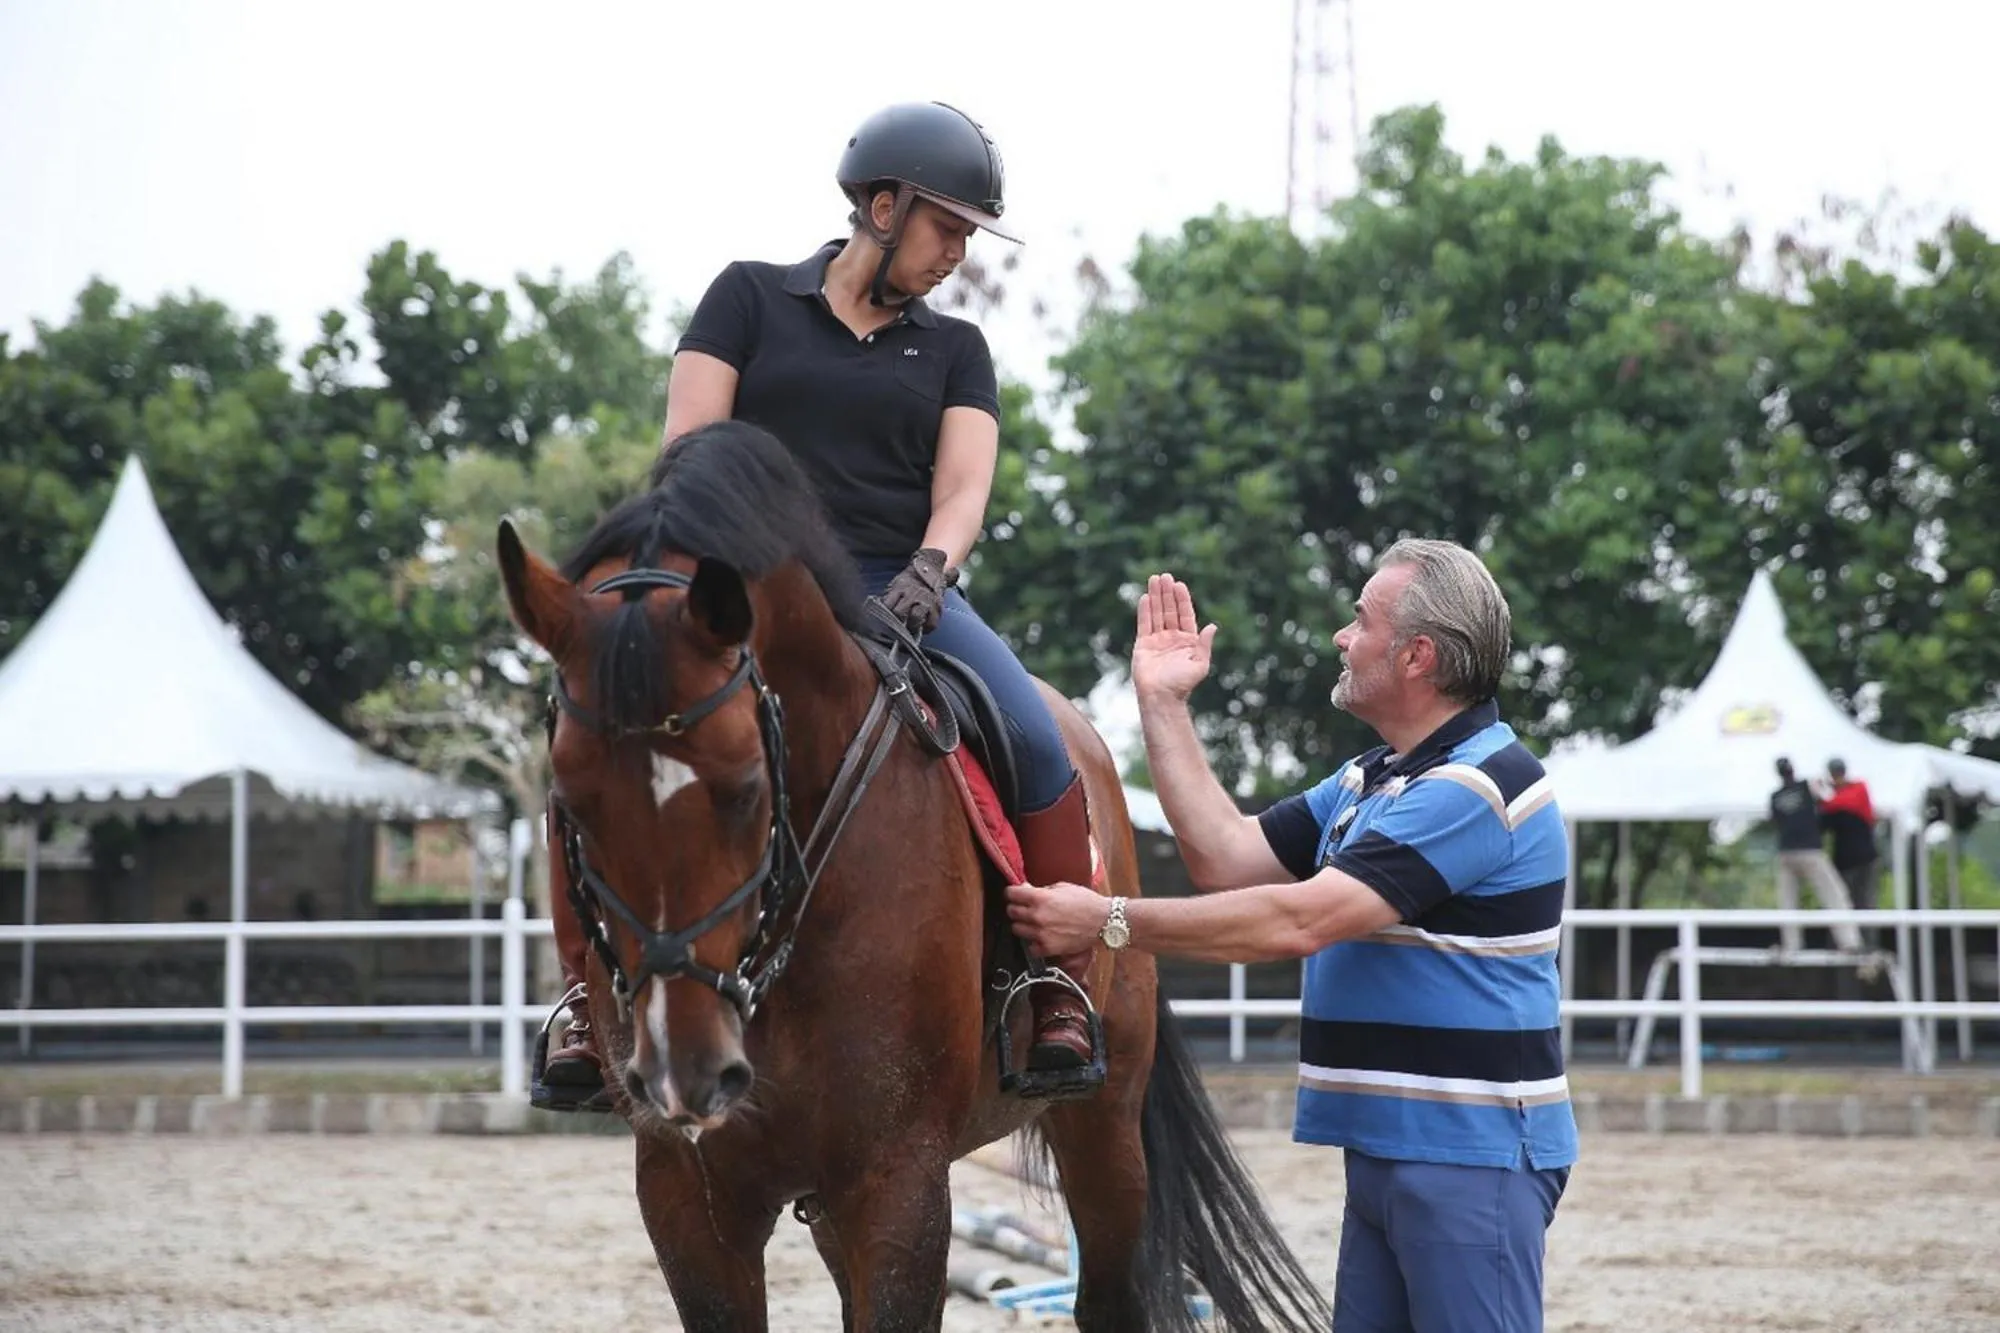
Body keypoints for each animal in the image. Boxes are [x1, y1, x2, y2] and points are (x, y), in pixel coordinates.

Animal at [497, 419, 1328, 1332]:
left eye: (746, 786)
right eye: (567, 800)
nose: (686, 1066)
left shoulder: (899, 1181)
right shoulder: (687, 1191)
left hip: (1102, 1123)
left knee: (1108, 1292)